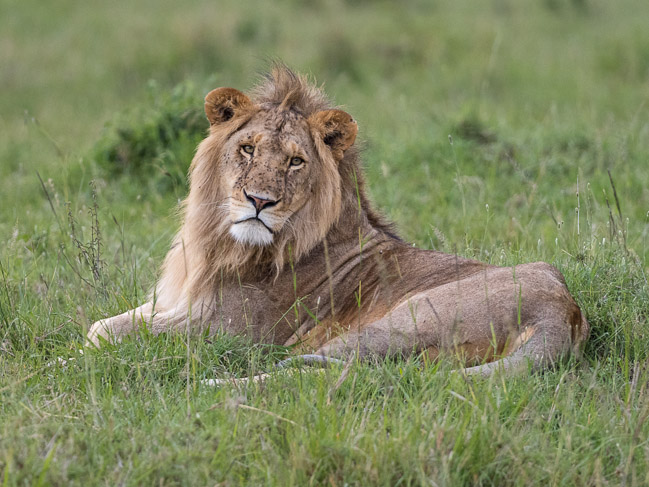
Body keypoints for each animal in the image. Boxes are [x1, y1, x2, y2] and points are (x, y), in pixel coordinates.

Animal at [87, 65, 589, 377]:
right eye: (247, 149)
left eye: (295, 162)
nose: (258, 201)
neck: (223, 243)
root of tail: (565, 311)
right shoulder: (176, 304)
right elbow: (104, 325)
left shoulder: (225, 331)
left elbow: (108, 336)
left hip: (394, 324)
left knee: (313, 373)